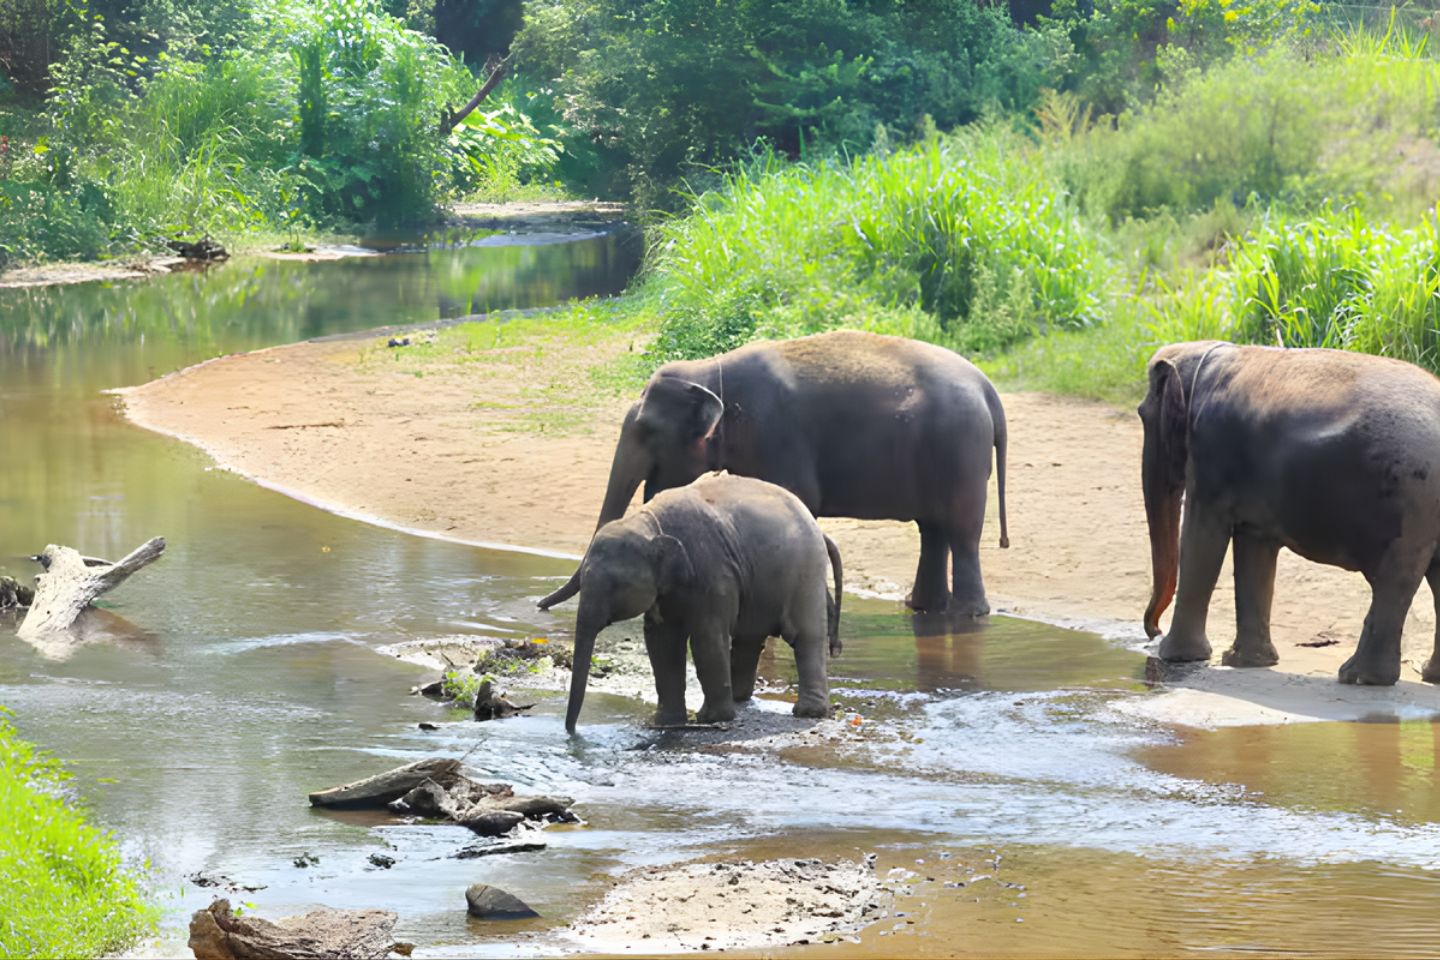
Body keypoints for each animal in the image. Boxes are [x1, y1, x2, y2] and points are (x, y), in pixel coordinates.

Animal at [539, 329, 1008, 616]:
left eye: (647, 432)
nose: (540, 605)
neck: (711, 371)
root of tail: (988, 388)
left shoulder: (776, 434)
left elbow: (797, 498)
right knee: (933, 530)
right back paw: (922, 608)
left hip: (961, 451)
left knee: (962, 532)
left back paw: (967, 614)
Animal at [559, 473, 842, 732]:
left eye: (614, 586)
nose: (572, 732)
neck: (650, 522)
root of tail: (820, 531)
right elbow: (661, 642)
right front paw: (666, 722)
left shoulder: (713, 570)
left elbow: (707, 638)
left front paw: (710, 719)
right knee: (749, 639)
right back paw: (739, 698)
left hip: (806, 573)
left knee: (805, 636)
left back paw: (808, 712)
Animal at [1140, 340, 1440, 686]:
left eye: (1143, 415)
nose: (1152, 631)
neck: (1210, 354)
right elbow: (1253, 547)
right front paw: (1245, 662)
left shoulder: (1211, 452)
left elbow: (1202, 535)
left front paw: (1176, 657)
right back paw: (1424, 675)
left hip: (1412, 500)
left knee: (1394, 579)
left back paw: (1358, 677)